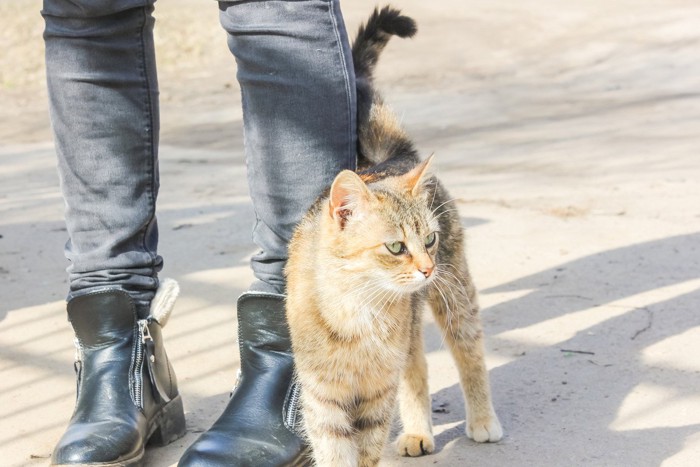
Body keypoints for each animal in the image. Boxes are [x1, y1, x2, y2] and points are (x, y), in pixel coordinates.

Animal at [284, 5, 504, 466]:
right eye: (396, 246)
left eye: (429, 240)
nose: (426, 268)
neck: (357, 312)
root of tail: (392, 159)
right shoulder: (323, 397)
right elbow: (335, 451)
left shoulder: (376, 395)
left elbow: (367, 450)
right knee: (416, 369)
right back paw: (418, 433)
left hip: (455, 295)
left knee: (469, 351)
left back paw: (482, 420)